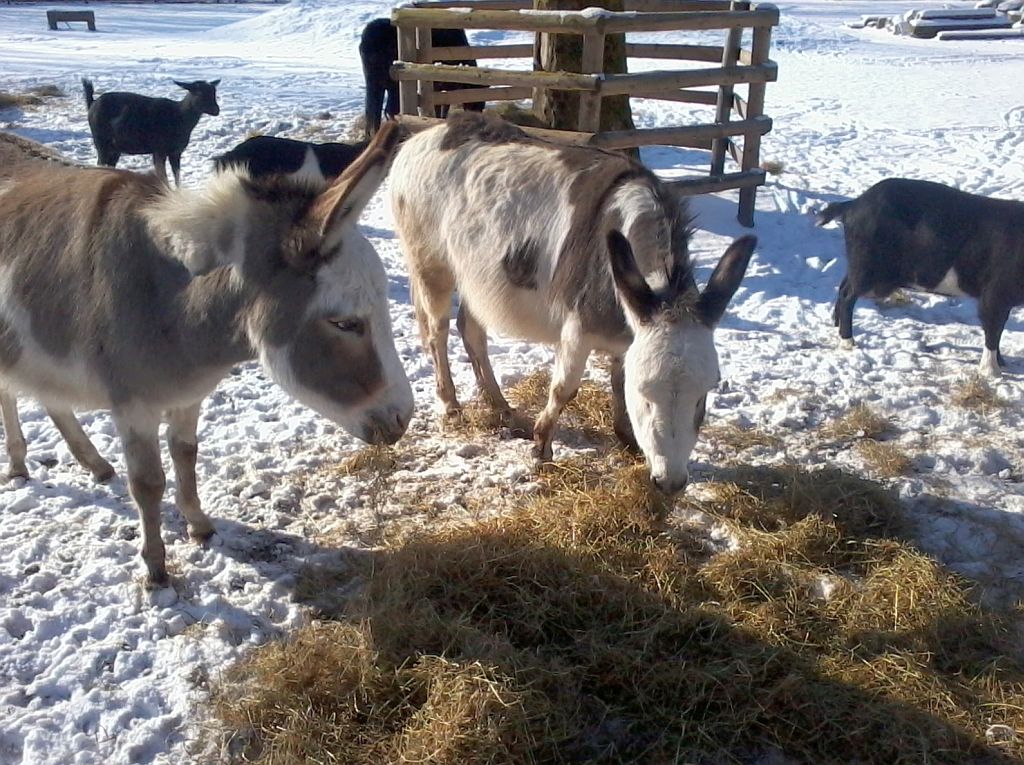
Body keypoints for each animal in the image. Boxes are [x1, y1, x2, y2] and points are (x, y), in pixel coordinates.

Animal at [81, 76, 220, 187]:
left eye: (214, 92)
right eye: (199, 93)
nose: (216, 110)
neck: (180, 121)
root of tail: (91, 103)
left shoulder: (176, 152)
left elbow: (177, 176)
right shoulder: (159, 149)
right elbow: (163, 176)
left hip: (114, 148)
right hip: (100, 141)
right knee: (100, 163)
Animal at [815, 174, 1024, 376]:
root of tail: (853, 204)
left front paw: (1002, 363)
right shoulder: (995, 292)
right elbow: (993, 327)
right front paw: (992, 372)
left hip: (860, 265)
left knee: (843, 285)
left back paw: (835, 326)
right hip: (866, 265)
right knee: (848, 295)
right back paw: (848, 343)